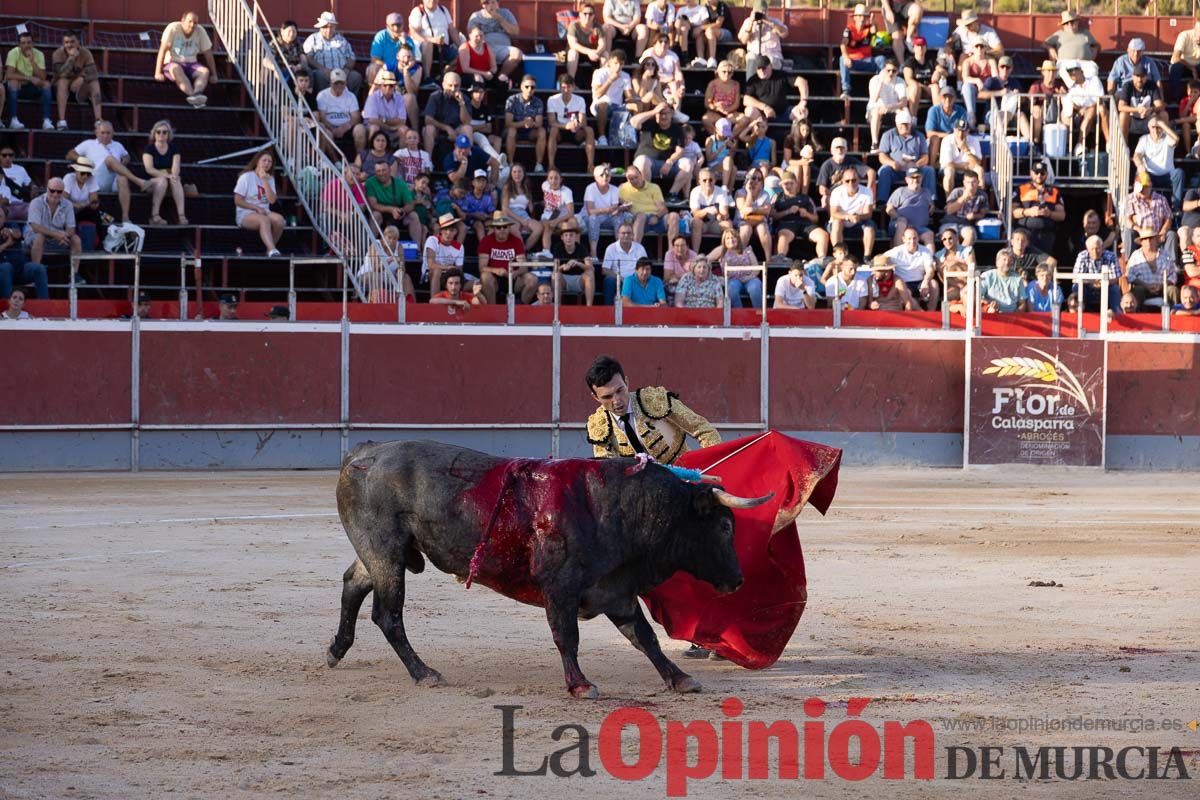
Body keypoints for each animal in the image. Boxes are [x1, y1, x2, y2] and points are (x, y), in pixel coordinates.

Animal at [326, 441, 768, 695]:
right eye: (724, 526)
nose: (738, 580)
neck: (622, 508)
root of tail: (359, 455)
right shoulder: (561, 587)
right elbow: (566, 636)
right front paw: (580, 685)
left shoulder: (616, 590)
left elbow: (646, 638)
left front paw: (679, 679)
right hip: (385, 551)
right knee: (388, 615)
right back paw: (424, 673)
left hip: (383, 552)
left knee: (353, 583)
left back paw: (336, 650)